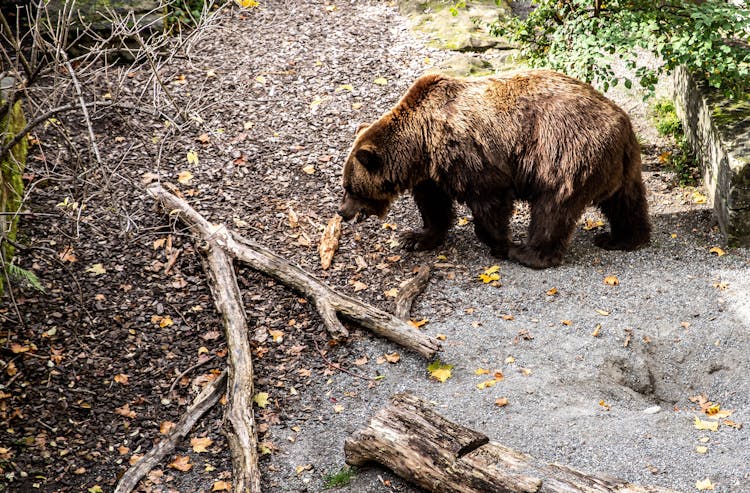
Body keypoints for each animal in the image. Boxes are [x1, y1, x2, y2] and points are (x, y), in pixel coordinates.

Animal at [340, 68, 652, 268]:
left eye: (350, 187)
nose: (342, 212)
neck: (421, 144)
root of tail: (621, 124)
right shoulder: (432, 172)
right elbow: (433, 206)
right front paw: (415, 237)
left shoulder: (466, 154)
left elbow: (489, 200)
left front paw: (499, 243)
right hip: (622, 165)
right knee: (626, 201)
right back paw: (622, 238)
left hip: (565, 154)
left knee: (553, 207)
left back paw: (528, 253)